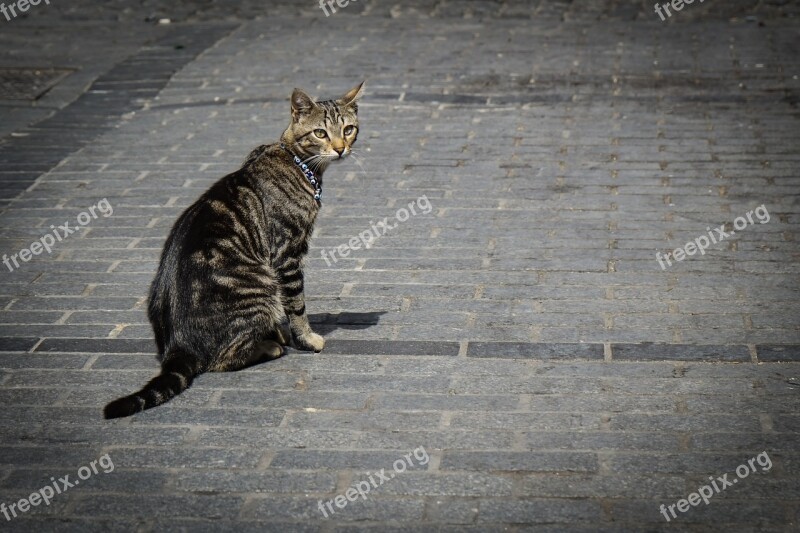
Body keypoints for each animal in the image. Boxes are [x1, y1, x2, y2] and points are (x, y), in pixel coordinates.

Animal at [102, 81, 362, 418]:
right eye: (320, 133)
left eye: (348, 129)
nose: (340, 148)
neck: (297, 161)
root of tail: (177, 346)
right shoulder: (287, 253)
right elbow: (296, 305)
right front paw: (305, 338)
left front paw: (279, 331)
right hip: (260, 283)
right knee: (221, 360)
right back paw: (268, 346)